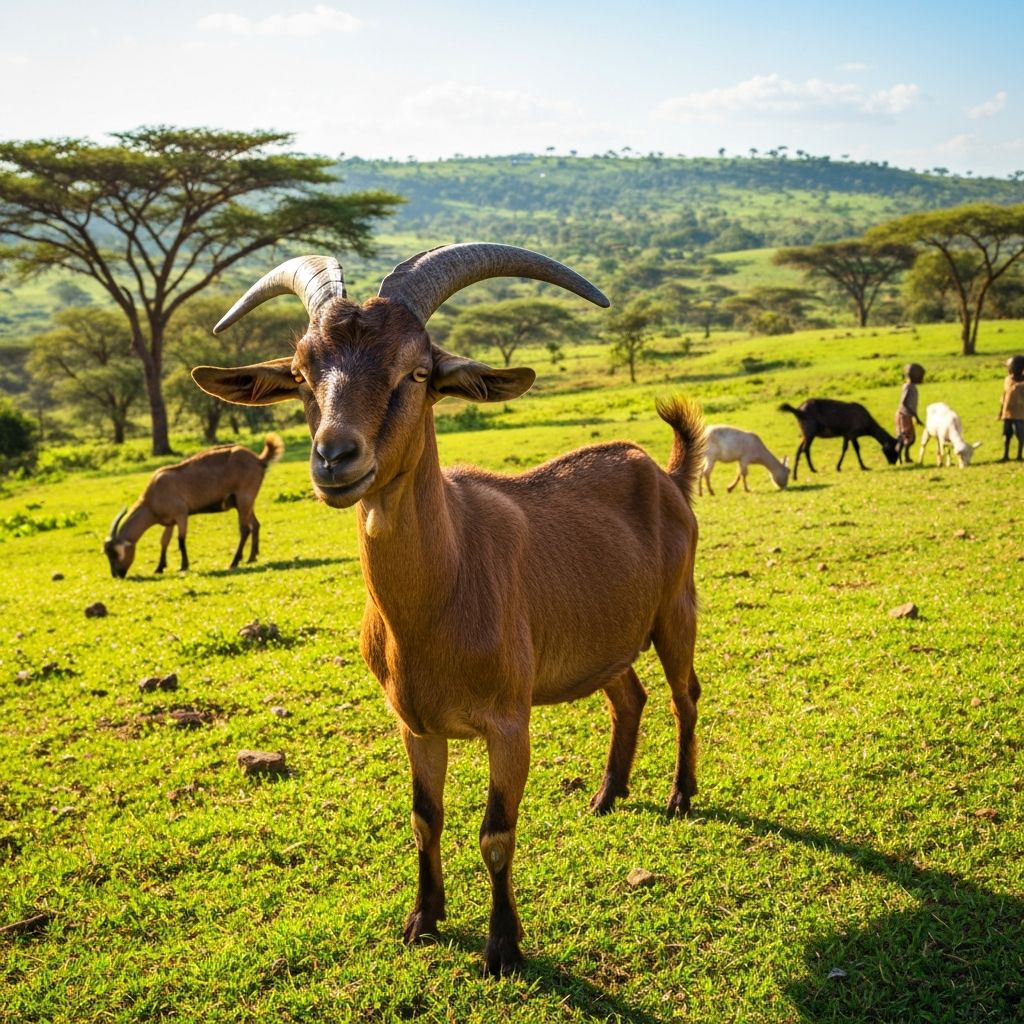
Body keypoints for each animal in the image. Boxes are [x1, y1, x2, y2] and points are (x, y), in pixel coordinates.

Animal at [103, 434, 283, 577]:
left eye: (116, 553)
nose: (117, 575)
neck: (151, 498)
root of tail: (258, 460)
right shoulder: (169, 522)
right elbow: (164, 542)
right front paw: (159, 568)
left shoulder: (181, 515)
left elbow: (181, 540)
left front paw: (184, 566)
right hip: (243, 503)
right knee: (255, 524)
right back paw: (251, 557)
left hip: (244, 498)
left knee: (245, 529)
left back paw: (234, 562)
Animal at [192, 245, 705, 977]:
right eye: (300, 374)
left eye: (417, 371)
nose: (334, 458)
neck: (442, 596)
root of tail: (663, 473)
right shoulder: (416, 725)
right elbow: (422, 818)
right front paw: (423, 919)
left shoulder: (509, 724)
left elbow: (496, 833)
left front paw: (502, 946)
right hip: (603, 641)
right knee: (627, 697)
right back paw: (608, 795)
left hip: (675, 610)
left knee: (685, 695)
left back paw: (680, 795)